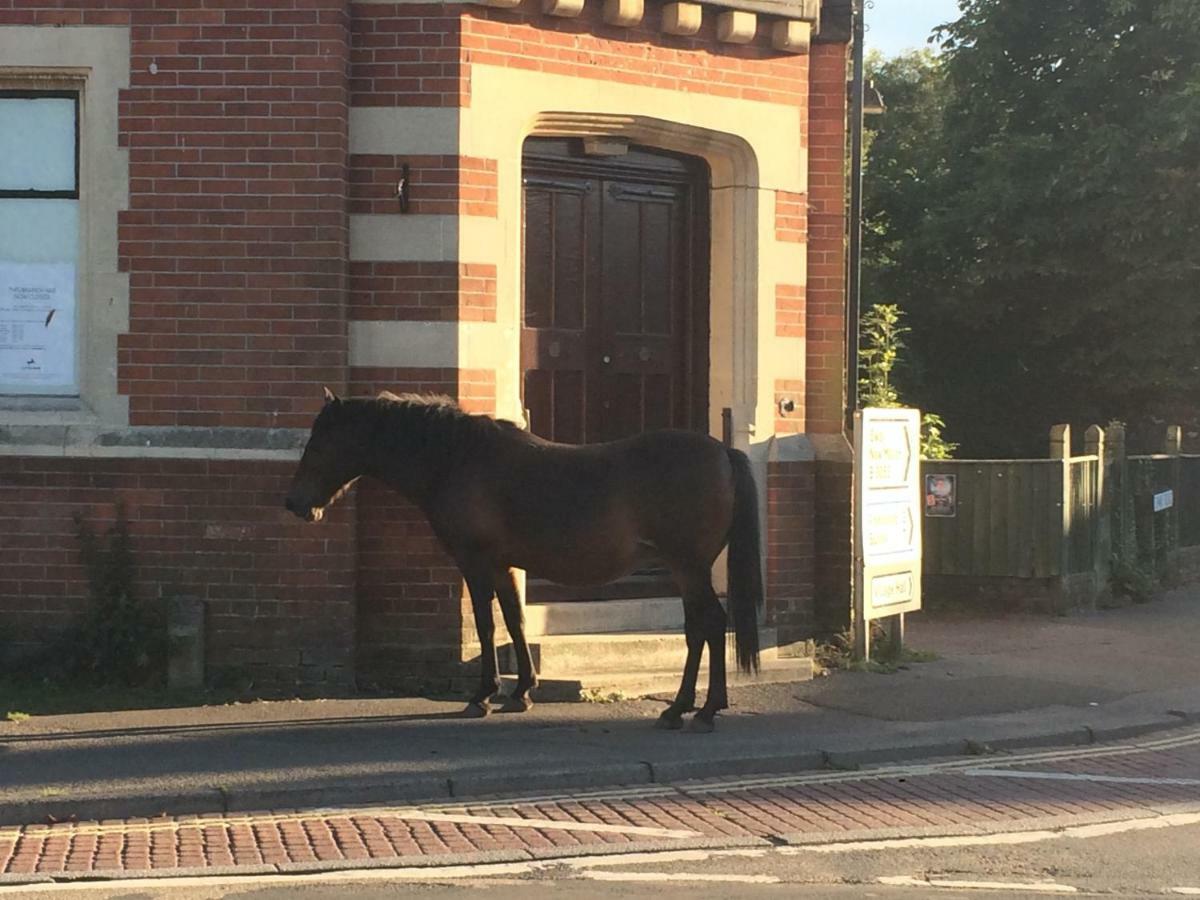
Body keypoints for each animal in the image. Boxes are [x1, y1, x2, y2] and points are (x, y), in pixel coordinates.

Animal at [285, 388, 763, 734]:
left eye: (319, 443)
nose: (295, 503)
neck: (456, 458)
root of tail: (722, 452)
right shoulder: (506, 566)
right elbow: (514, 621)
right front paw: (522, 692)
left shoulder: (475, 562)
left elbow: (486, 625)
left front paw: (483, 695)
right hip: (687, 570)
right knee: (700, 628)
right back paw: (687, 708)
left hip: (688, 567)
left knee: (709, 625)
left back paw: (697, 709)